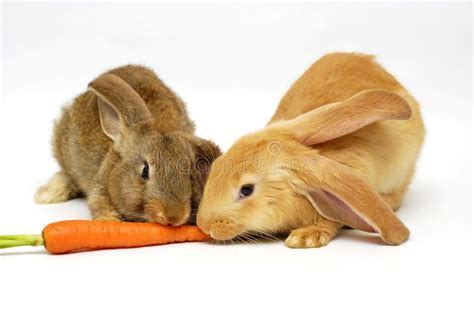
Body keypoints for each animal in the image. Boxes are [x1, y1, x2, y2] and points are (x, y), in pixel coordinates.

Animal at [34, 65, 220, 226]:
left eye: (190, 175)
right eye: (145, 171)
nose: (173, 216)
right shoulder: (99, 188)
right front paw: (109, 222)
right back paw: (46, 194)